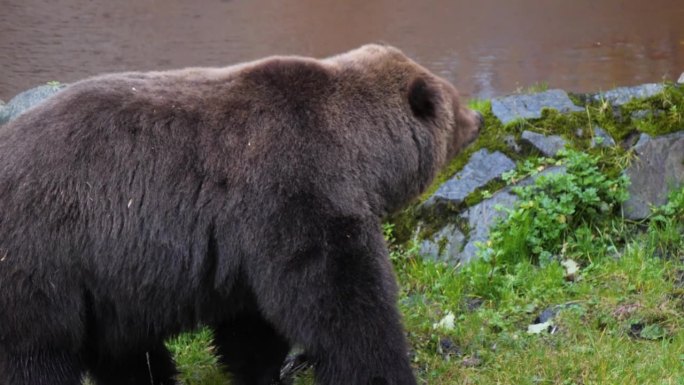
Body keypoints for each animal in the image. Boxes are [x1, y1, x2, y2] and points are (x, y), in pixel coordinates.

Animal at [0, 43, 480, 382]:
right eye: (454, 103)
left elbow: (251, 324)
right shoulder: (294, 188)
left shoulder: (246, 243)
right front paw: (383, 368)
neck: (359, 153)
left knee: (121, 351)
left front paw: (262, 370)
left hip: (101, 284)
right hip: (44, 260)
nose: (477, 121)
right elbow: (340, 298)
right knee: (36, 356)